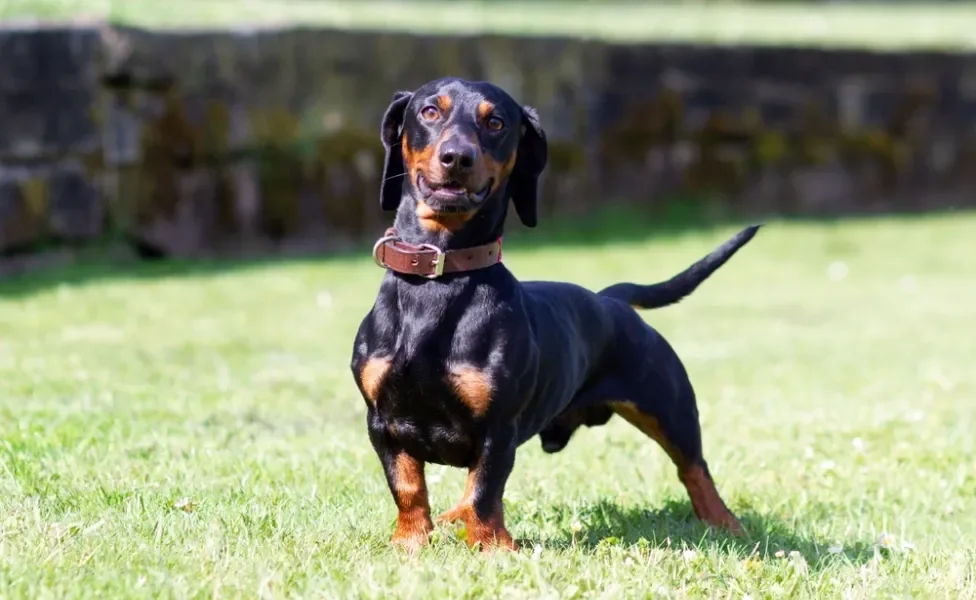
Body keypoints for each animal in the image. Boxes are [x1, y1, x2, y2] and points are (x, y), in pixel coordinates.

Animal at [346, 78, 760, 552]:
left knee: (694, 469)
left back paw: (725, 523)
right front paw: (410, 542)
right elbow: (409, 488)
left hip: (670, 410)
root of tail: (610, 299)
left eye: (496, 122)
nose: (457, 157)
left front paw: (492, 548)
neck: (440, 278)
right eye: (430, 111)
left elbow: (483, 490)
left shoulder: (498, 429)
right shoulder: (382, 422)